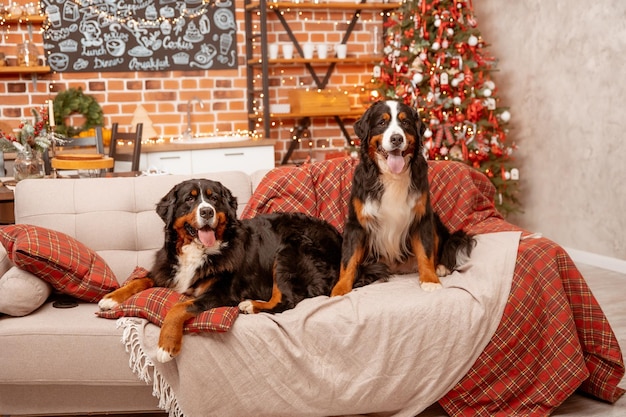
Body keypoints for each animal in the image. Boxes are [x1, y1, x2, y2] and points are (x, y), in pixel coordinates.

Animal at [100, 179, 346, 360]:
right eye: (190, 199)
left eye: (214, 198)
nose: (207, 212)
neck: (197, 250)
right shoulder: (166, 270)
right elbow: (140, 280)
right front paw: (111, 298)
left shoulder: (221, 292)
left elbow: (178, 308)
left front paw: (166, 346)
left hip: (290, 248)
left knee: (286, 301)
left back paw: (251, 305)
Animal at [332, 99, 472, 296]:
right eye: (382, 122)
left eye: (405, 122)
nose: (397, 138)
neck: (392, 177)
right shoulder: (356, 224)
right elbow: (348, 260)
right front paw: (340, 289)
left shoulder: (422, 218)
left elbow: (426, 252)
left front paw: (430, 280)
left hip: (434, 220)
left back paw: (441, 267)